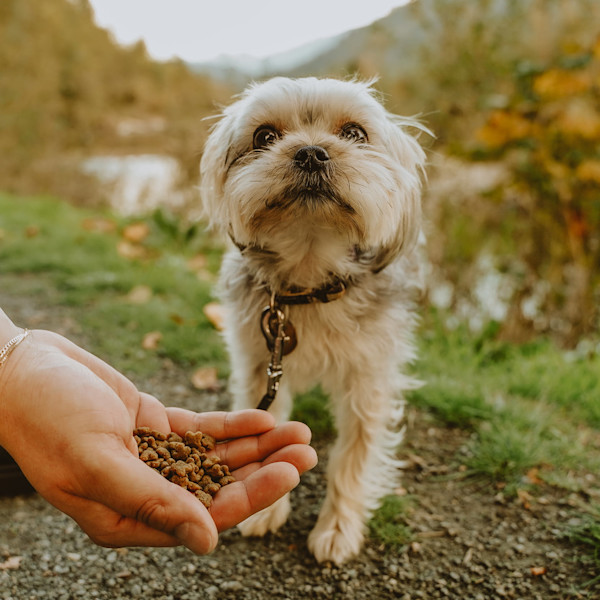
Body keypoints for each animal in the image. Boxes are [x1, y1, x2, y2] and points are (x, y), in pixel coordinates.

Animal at [200, 77, 426, 564]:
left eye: (355, 133)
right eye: (264, 136)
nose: (310, 152)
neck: (309, 281)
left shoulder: (368, 379)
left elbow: (354, 456)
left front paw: (338, 528)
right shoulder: (259, 362)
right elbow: (269, 424)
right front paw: (267, 507)